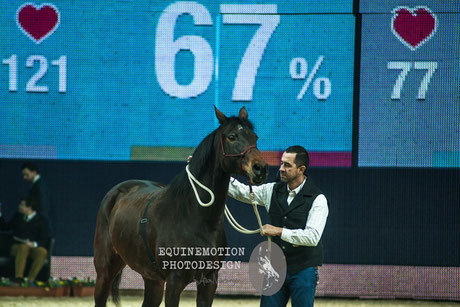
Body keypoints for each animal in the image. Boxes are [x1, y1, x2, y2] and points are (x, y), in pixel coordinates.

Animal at [92, 107, 268, 306]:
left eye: (255, 136)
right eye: (232, 136)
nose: (260, 168)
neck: (196, 217)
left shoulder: (209, 280)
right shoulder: (174, 281)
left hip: (153, 280)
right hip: (105, 272)